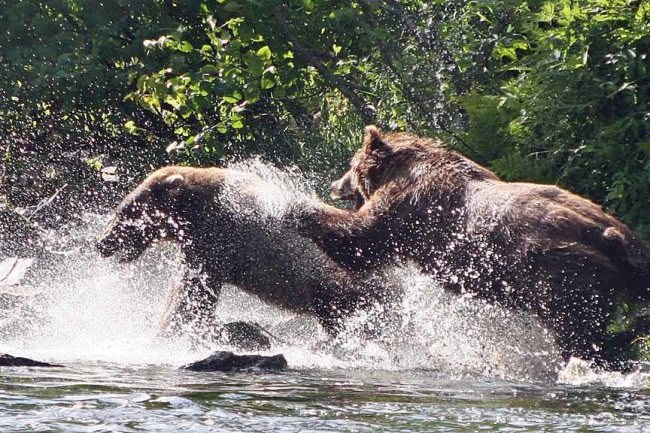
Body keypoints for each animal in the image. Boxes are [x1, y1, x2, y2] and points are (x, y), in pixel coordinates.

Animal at [96, 166, 398, 342]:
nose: (102, 243)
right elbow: (182, 286)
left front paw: (171, 329)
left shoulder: (217, 238)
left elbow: (193, 292)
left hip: (342, 290)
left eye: (127, 212)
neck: (193, 211)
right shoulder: (196, 244)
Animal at [287, 126, 650, 367]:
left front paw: (295, 208)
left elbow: (361, 242)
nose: (334, 184)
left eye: (350, 165)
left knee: (577, 330)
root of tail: (600, 230)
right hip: (629, 254)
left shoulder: (409, 211)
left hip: (562, 273)